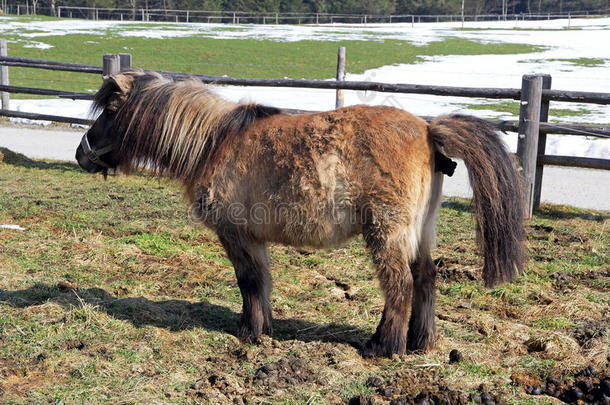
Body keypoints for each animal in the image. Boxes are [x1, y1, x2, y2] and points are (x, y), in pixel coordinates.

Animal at [76, 69, 524, 356]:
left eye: (110, 111)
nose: (81, 153)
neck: (213, 143)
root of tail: (429, 130)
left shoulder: (235, 235)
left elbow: (248, 282)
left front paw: (249, 332)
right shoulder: (252, 237)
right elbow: (261, 282)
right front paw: (264, 327)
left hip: (387, 232)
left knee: (399, 285)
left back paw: (384, 346)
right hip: (420, 231)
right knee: (426, 279)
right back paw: (419, 343)